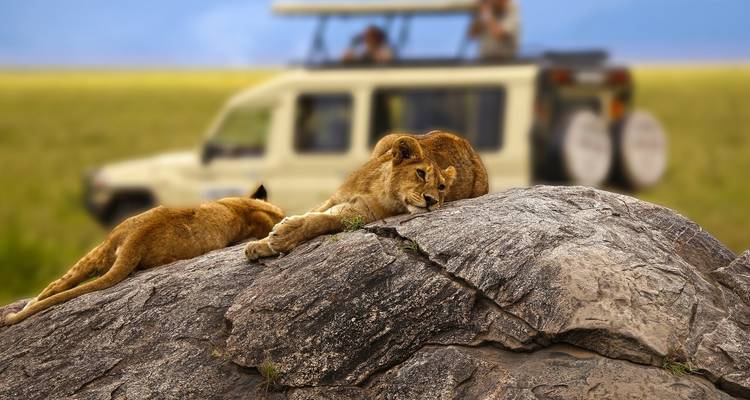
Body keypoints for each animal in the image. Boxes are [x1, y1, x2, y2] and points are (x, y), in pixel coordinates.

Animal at [244, 131, 488, 260]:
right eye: (420, 173)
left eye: (442, 187)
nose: (432, 201)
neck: (377, 187)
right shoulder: (336, 197)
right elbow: (312, 213)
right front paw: (260, 244)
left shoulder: (361, 214)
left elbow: (320, 221)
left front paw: (282, 237)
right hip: (388, 139)